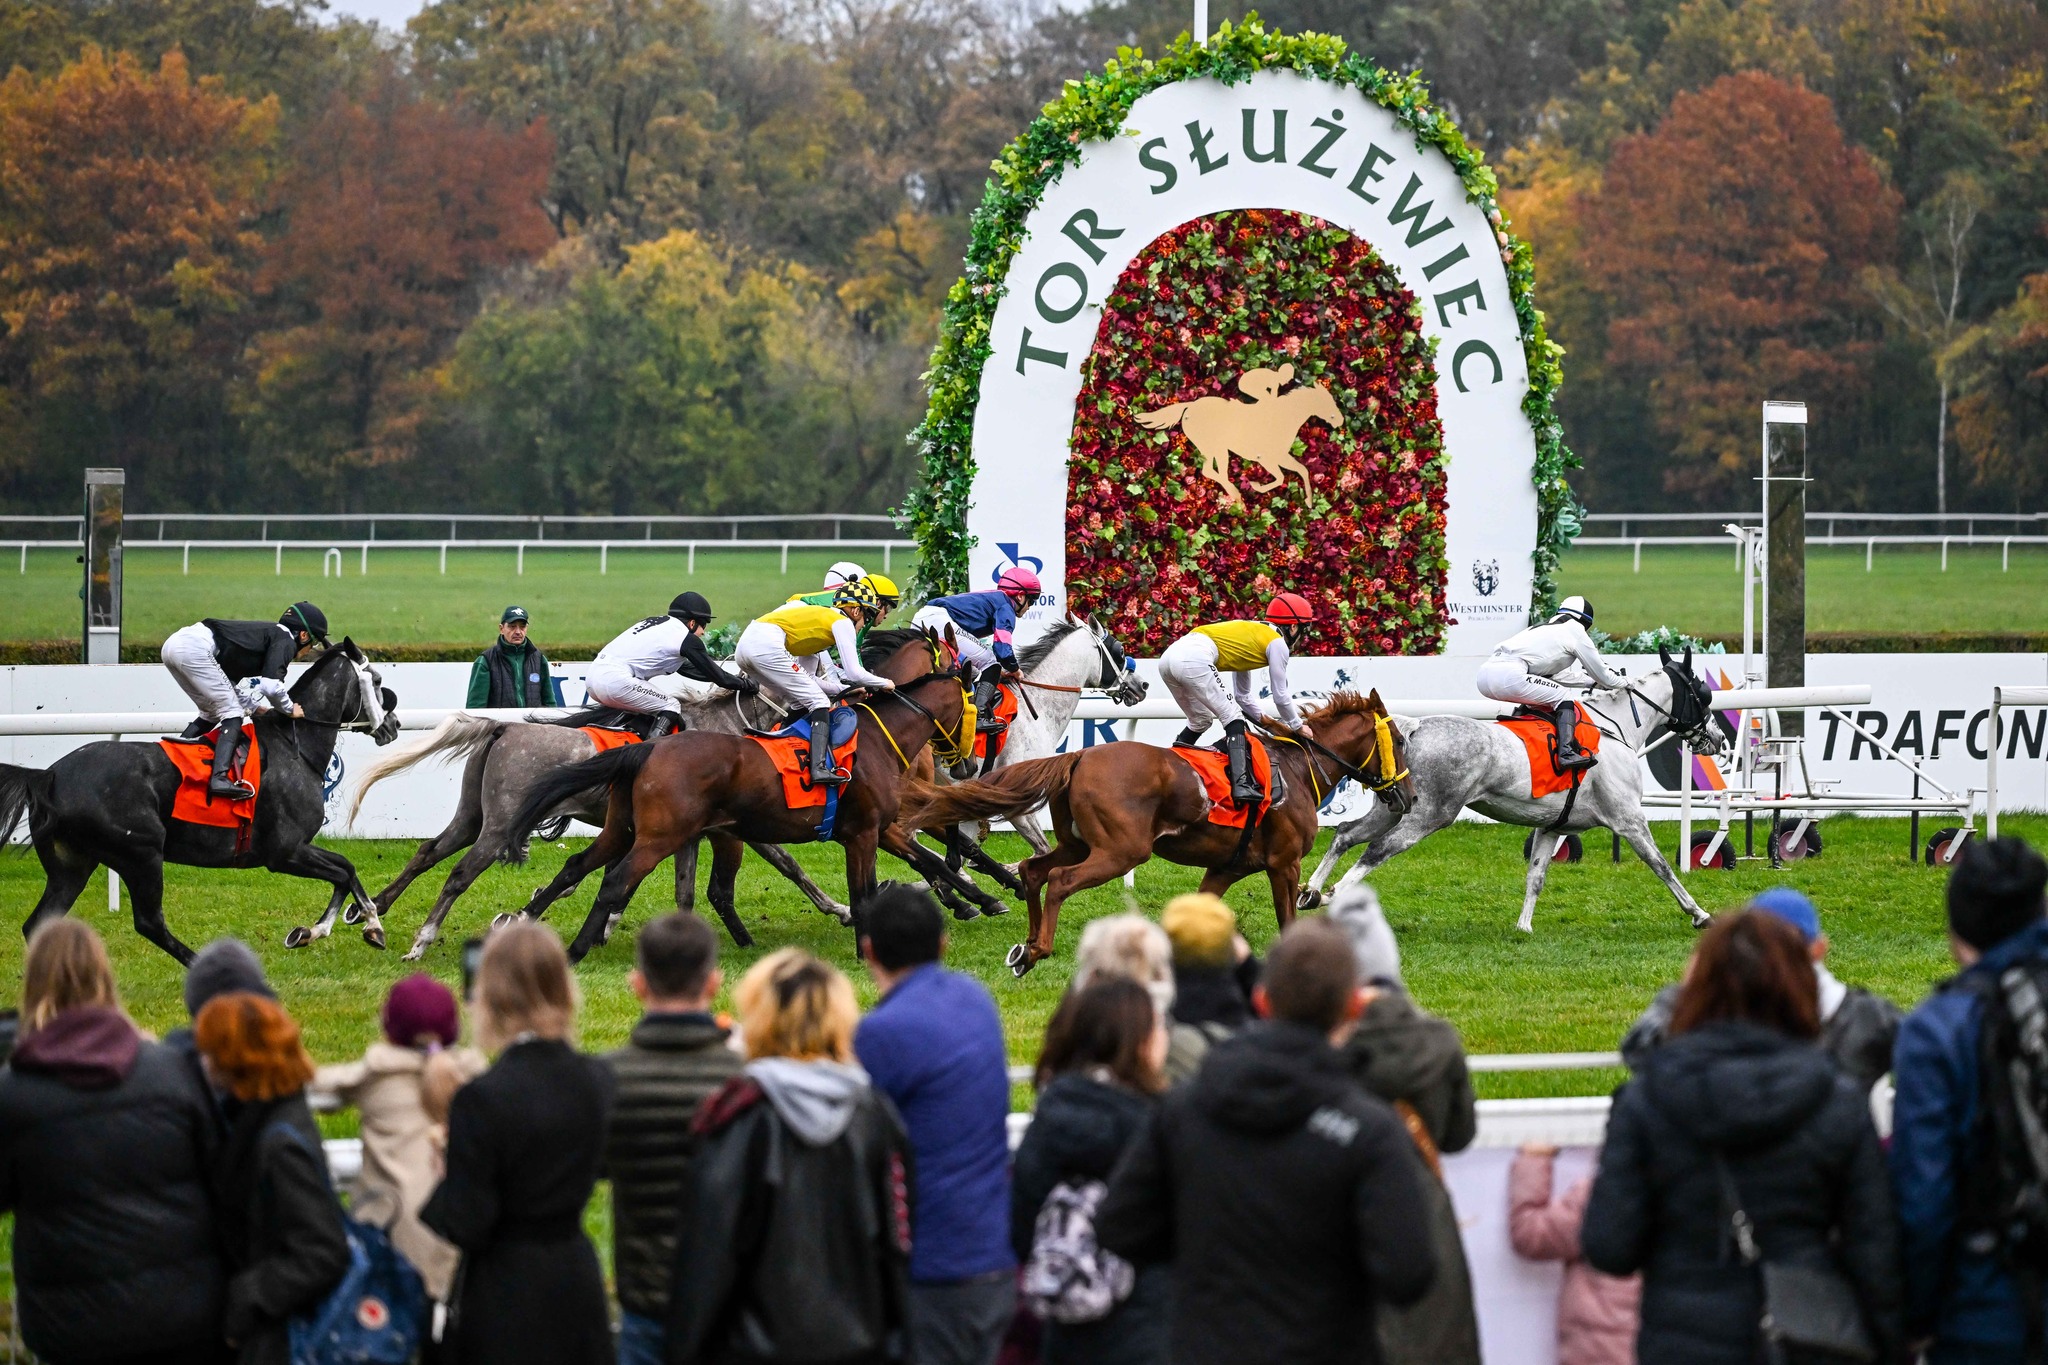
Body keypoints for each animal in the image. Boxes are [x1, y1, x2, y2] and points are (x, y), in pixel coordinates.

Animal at [495, 630, 991, 961]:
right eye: (976, 702)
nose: (966, 764)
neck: (876, 739)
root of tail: (648, 747)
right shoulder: (862, 833)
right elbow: (860, 888)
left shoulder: (881, 827)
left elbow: (926, 860)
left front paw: (976, 898)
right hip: (661, 836)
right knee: (617, 881)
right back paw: (577, 945)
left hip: (626, 828)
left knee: (579, 866)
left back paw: (533, 917)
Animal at [905, 695, 1417, 970]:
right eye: (1401, 741)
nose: (1410, 796)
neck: (1296, 770)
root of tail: (1079, 755)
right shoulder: (1284, 864)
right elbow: (1288, 919)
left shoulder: (1224, 869)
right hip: (1122, 850)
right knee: (1061, 882)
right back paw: (1039, 949)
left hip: (1078, 843)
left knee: (1034, 869)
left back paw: (1027, 944)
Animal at [1294, 650, 1728, 929]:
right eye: (1702, 693)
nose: (1719, 739)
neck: (1616, 728)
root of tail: (1412, 727)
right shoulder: (1629, 820)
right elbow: (1662, 866)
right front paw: (1699, 913)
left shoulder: (1551, 826)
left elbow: (1536, 876)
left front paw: (1524, 927)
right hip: (1430, 814)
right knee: (1376, 849)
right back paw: (1332, 895)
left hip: (1395, 803)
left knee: (1346, 835)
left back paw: (1311, 891)